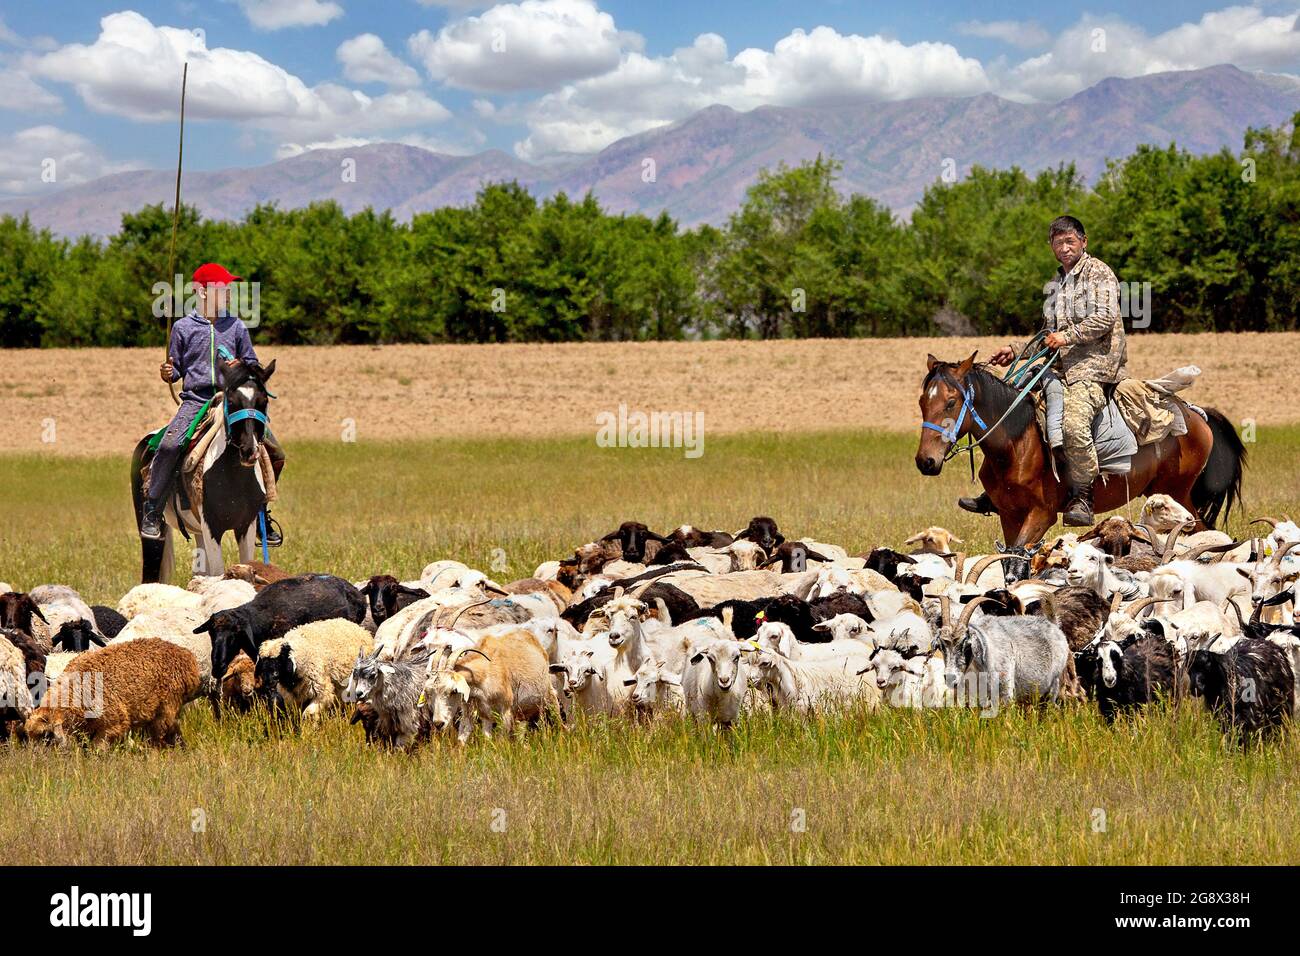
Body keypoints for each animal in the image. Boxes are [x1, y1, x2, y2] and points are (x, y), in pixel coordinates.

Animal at [24, 639, 200, 749]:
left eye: (46, 736)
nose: (36, 759)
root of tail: (186, 656)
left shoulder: (113, 723)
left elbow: (98, 749)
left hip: (167, 706)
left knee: (163, 735)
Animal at [920, 351, 1242, 548]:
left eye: (951, 402)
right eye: (923, 402)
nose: (925, 461)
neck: (1016, 443)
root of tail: (1197, 414)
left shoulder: (1042, 515)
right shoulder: (1009, 515)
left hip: (1179, 494)